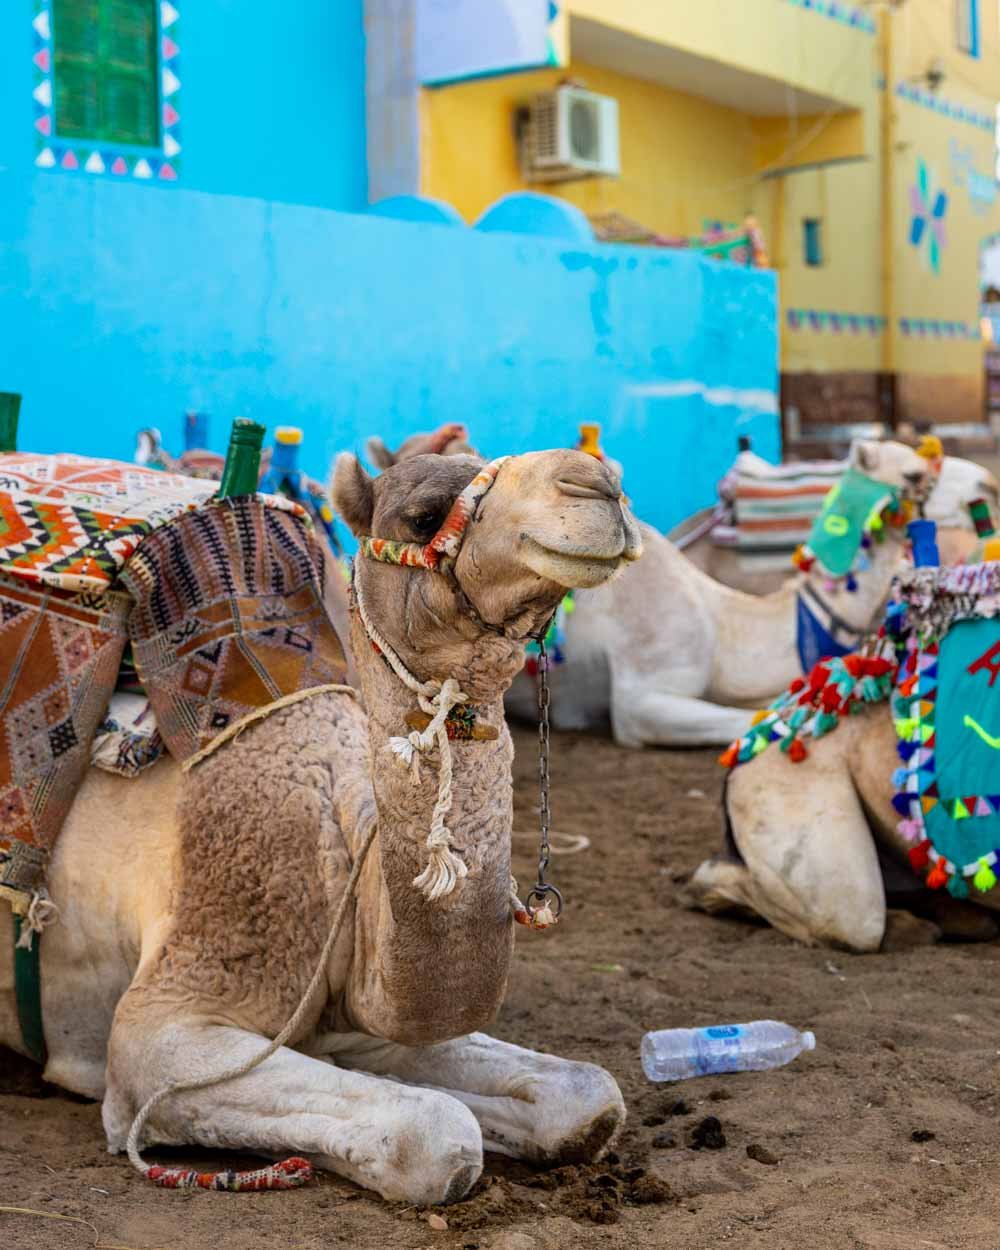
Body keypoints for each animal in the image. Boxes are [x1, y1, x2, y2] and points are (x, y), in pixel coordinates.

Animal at [0, 447, 640, 1200]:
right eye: (423, 516)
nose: (597, 483)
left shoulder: (349, 1007)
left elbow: (587, 1095)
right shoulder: (162, 1021)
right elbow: (434, 1131)